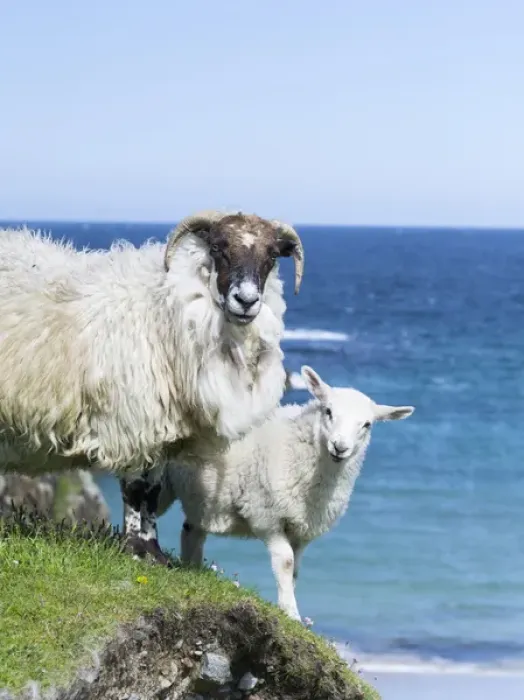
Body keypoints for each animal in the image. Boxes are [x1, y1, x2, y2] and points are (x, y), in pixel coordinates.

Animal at [0, 211, 305, 564]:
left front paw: (155, 552)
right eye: (217, 247)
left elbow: (152, 492)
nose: (246, 300)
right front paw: (135, 549)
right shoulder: (131, 424)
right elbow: (135, 490)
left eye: (272, 256)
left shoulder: (162, 432)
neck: (167, 305)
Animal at [157, 365, 415, 620]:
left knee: (191, 531)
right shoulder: (266, 516)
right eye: (328, 411)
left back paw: (191, 569)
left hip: (202, 498)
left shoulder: (302, 530)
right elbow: (286, 562)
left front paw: (289, 602)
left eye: (367, 424)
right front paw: (291, 612)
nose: (340, 447)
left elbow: (296, 571)